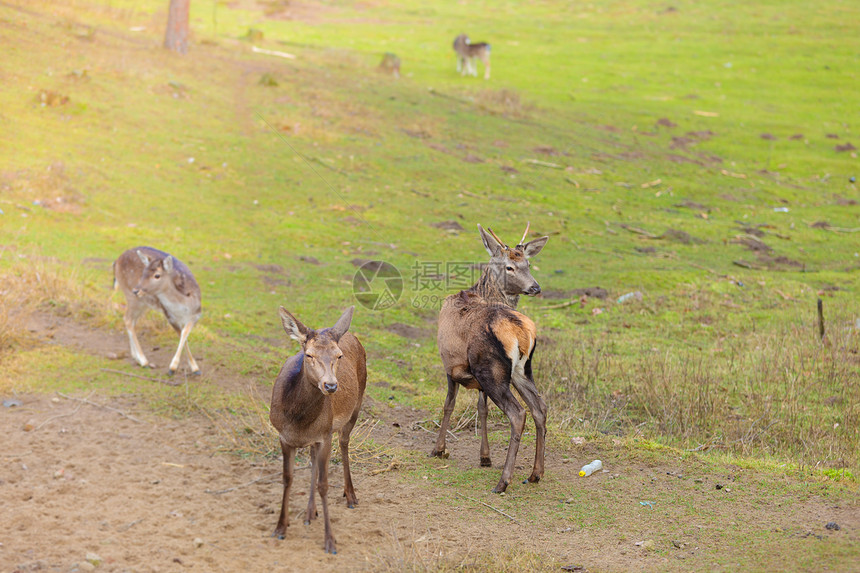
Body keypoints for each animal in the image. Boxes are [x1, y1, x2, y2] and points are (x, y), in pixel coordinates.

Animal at [113, 246, 202, 376]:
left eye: (157, 275)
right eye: (143, 272)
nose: (136, 290)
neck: (183, 309)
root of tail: (116, 261)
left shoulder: (196, 315)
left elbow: (184, 334)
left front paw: (195, 368)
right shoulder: (169, 315)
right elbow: (182, 335)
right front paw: (173, 368)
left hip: (142, 303)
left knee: (130, 320)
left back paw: (135, 356)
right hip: (133, 298)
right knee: (128, 319)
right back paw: (144, 361)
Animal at [270, 306, 368, 552]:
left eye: (339, 356)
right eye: (309, 355)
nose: (331, 385)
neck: (298, 421)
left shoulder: (325, 435)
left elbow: (324, 484)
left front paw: (330, 540)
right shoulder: (284, 437)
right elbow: (287, 478)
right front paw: (280, 528)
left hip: (355, 406)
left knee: (344, 442)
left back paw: (350, 495)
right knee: (314, 458)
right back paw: (309, 511)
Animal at [434, 222, 548, 492]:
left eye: (528, 263)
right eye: (510, 266)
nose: (535, 287)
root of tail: (521, 331)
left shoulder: (450, 365)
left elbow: (448, 404)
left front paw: (439, 449)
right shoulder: (476, 379)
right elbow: (481, 408)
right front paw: (484, 456)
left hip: (491, 369)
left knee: (518, 413)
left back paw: (503, 481)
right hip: (520, 370)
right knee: (540, 407)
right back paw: (536, 473)